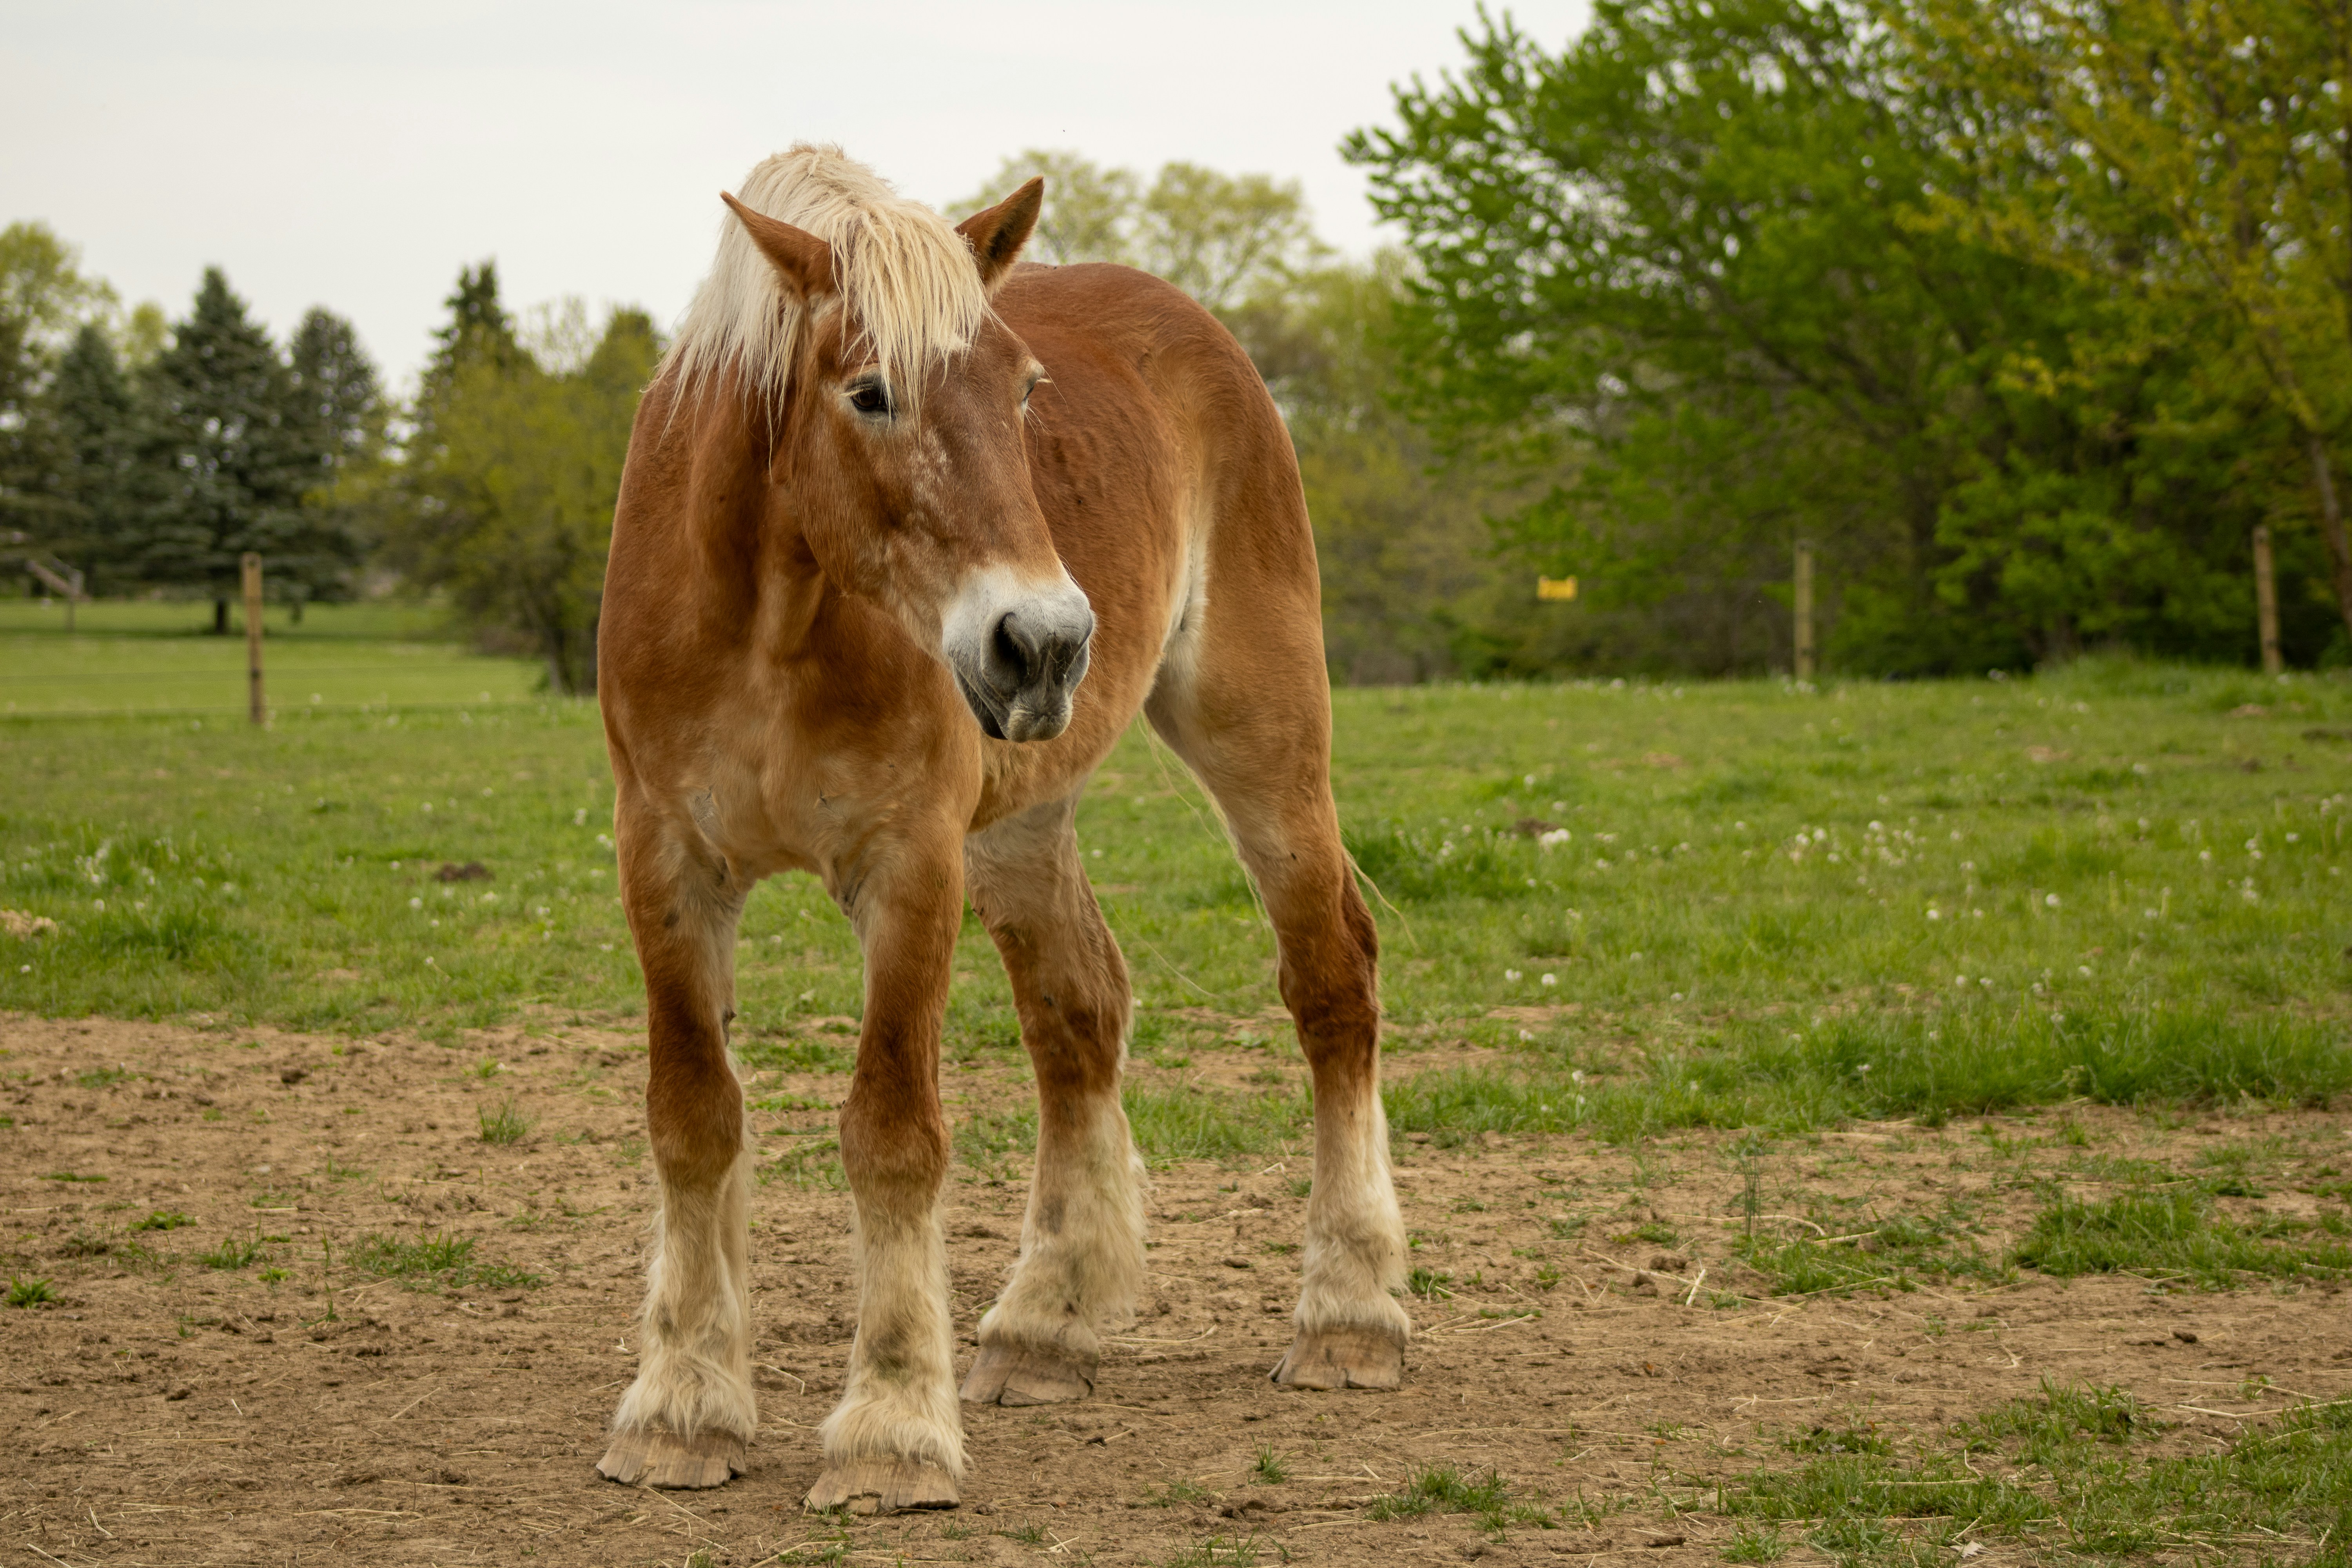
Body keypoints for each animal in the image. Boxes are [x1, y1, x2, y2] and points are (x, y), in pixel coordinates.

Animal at [592, 144, 1409, 1514]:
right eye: (869, 392)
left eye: (1024, 391)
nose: (1046, 641)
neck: (770, 621)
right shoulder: (668, 867)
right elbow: (693, 1117)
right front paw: (683, 1406)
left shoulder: (910, 868)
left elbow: (893, 1132)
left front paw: (889, 1430)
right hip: (1022, 829)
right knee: (1078, 1012)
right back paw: (1043, 1325)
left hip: (1261, 743)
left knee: (1329, 979)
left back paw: (1348, 1311)